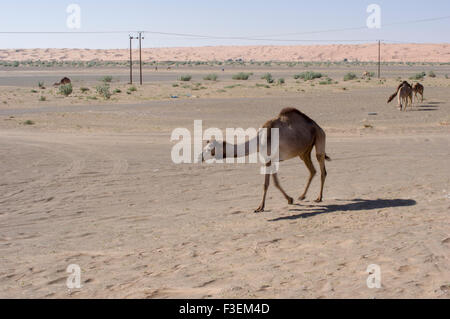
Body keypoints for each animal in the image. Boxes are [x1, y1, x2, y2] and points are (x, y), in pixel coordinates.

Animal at [200, 108, 330, 215]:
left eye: (209, 149)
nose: (200, 156)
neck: (259, 141)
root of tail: (317, 125)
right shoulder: (271, 160)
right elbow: (275, 182)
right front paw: (290, 199)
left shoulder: (268, 159)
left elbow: (266, 184)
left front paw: (260, 207)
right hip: (304, 152)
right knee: (312, 170)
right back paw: (302, 196)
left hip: (319, 138)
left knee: (322, 167)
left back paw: (319, 198)